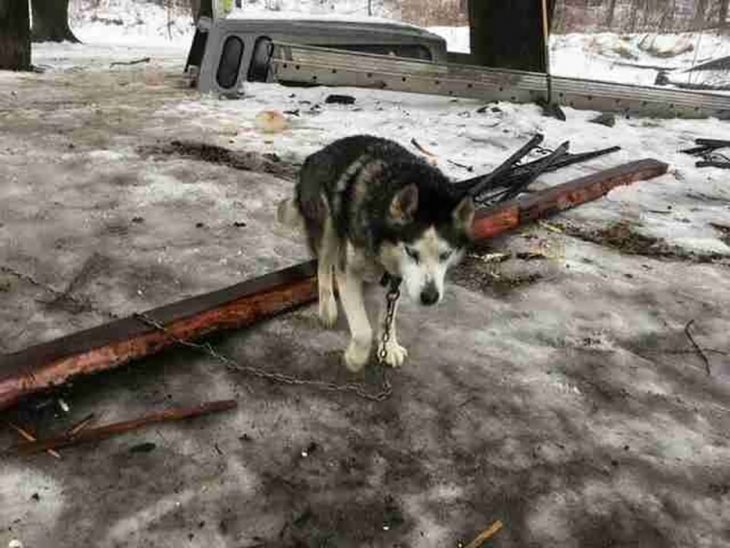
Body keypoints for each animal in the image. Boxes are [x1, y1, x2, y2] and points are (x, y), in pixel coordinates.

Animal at [278, 135, 472, 370]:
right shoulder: (348, 271)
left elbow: (388, 314)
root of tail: (317, 153)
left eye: (445, 255)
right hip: (328, 226)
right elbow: (362, 331)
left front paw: (389, 346)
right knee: (323, 265)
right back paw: (327, 307)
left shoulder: (397, 276)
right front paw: (355, 358)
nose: (430, 297)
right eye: (411, 252)